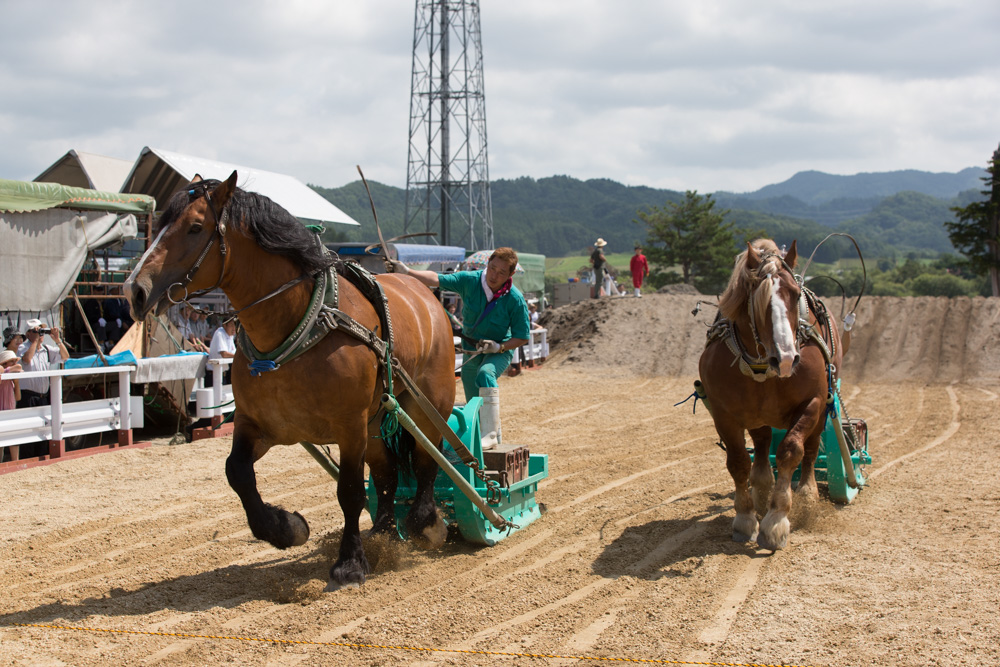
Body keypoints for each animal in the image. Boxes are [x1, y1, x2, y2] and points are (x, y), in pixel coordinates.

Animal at [124, 171, 457, 587]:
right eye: (159, 224)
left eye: (195, 227)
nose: (134, 289)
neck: (301, 323)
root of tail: (424, 292)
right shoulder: (260, 424)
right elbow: (237, 472)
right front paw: (286, 528)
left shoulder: (349, 427)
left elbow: (349, 491)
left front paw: (350, 563)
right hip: (377, 423)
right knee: (387, 474)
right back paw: (383, 535)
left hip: (426, 405)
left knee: (429, 457)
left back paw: (425, 522)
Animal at [698, 239, 843, 551]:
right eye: (757, 298)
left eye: (796, 293)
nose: (786, 358)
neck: (763, 366)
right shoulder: (724, 414)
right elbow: (739, 462)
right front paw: (746, 518)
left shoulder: (812, 403)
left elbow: (791, 451)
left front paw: (777, 521)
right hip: (758, 416)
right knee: (763, 447)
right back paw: (762, 490)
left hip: (823, 407)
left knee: (811, 450)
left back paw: (807, 497)